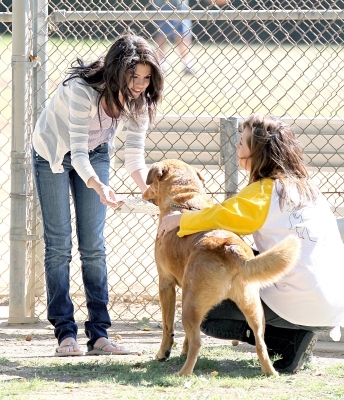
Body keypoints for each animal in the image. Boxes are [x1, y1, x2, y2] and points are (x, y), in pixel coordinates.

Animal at [141, 159, 300, 376]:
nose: (143, 193)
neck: (184, 201)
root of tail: (228, 247)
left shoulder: (166, 284)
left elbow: (168, 326)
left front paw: (163, 353)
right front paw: (182, 351)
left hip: (190, 306)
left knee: (198, 342)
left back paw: (183, 374)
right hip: (253, 309)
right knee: (261, 343)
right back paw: (270, 373)